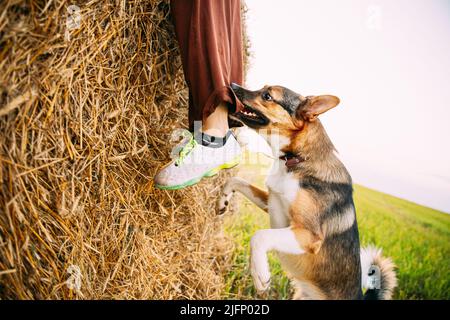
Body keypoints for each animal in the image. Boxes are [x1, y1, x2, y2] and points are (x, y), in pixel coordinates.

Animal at [219, 83, 398, 300]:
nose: (232, 85)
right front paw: (223, 200)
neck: (298, 159)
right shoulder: (272, 203)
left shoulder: (308, 235)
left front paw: (260, 274)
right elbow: (236, 180)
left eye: (267, 96)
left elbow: (260, 236)